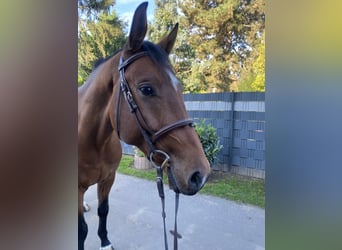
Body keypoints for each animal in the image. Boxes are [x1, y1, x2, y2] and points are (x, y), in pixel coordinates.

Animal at [78, 2, 210, 250]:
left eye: (180, 87)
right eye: (146, 89)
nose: (200, 174)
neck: (94, 141)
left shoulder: (108, 178)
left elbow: (103, 210)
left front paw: (105, 241)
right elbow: (81, 229)